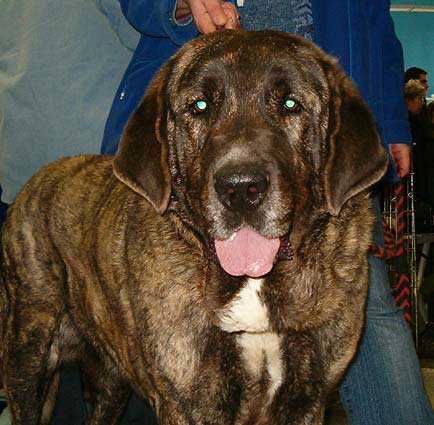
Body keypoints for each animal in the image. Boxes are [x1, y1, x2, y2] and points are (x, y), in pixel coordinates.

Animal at [0, 30, 386, 424]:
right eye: (199, 106)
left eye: (291, 104)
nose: (240, 188)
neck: (254, 284)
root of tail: (37, 179)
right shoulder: (188, 403)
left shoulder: (308, 401)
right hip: (28, 352)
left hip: (110, 380)